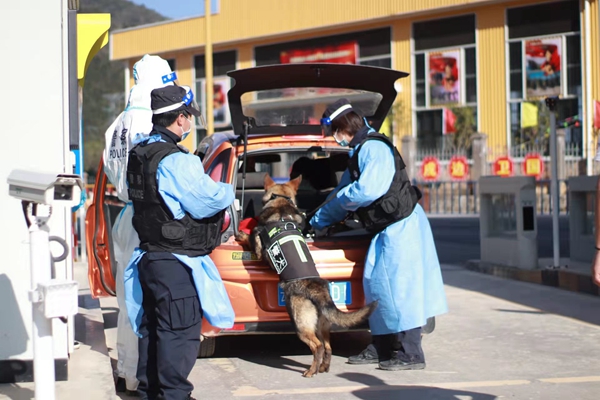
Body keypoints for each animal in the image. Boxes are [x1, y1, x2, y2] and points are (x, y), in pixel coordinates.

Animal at [237, 173, 378, 376]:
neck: (281, 202)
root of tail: (319, 293)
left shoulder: (257, 246)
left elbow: (249, 239)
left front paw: (241, 235)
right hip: (322, 326)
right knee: (328, 347)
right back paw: (323, 368)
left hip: (301, 326)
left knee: (317, 346)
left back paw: (311, 371)